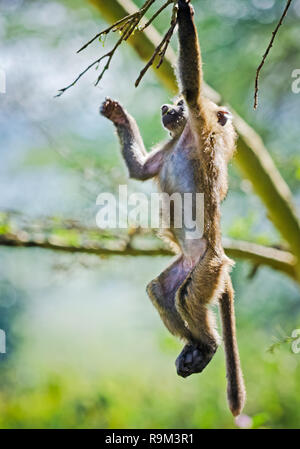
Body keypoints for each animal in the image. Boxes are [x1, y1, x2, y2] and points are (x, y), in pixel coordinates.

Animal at [99, 0, 245, 416]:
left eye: (178, 104)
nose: (167, 106)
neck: (182, 138)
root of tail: (213, 254)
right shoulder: (167, 148)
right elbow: (140, 171)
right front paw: (118, 115)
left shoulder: (201, 122)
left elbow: (194, 87)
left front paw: (184, 12)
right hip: (184, 266)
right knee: (161, 292)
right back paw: (195, 347)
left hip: (208, 268)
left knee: (187, 297)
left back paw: (208, 346)